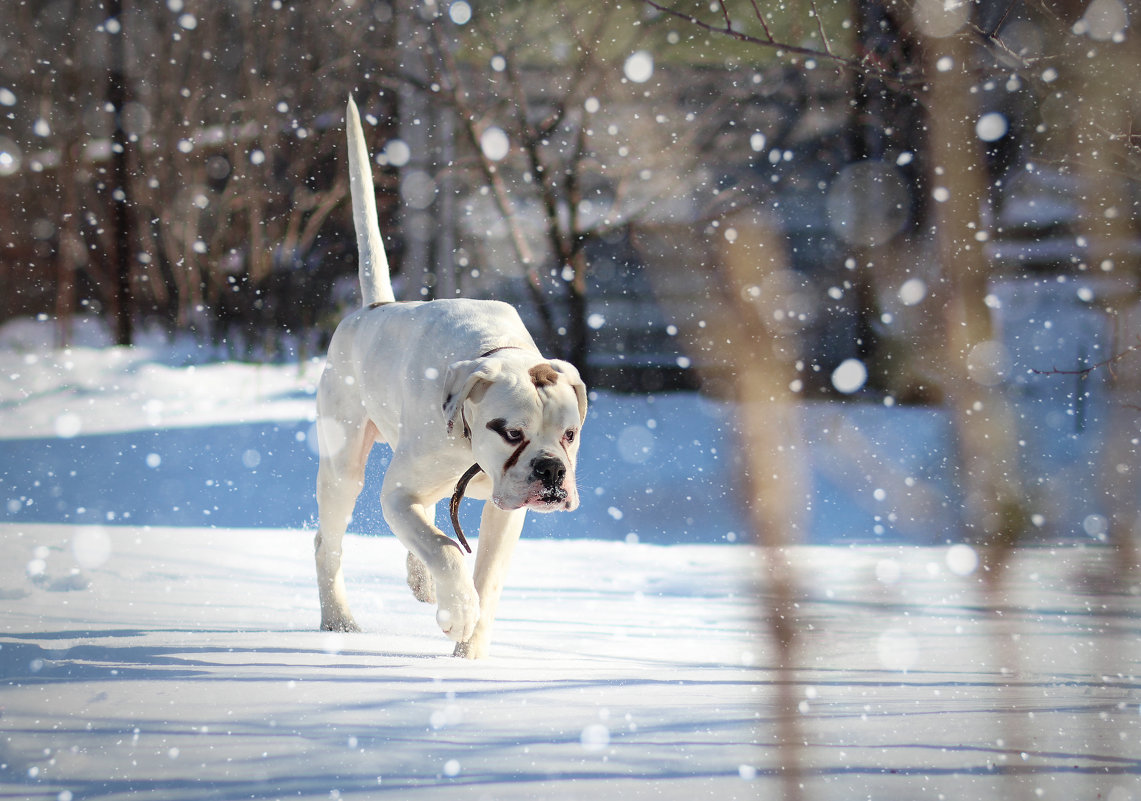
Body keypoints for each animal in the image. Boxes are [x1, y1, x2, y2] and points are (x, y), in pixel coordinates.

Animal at [314, 98, 588, 657]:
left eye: (570, 434)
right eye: (511, 432)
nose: (551, 470)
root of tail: (372, 309)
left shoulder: (505, 515)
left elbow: (486, 576)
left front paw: (470, 655)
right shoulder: (397, 495)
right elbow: (444, 550)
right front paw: (458, 612)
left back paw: (419, 583)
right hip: (343, 468)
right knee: (328, 545)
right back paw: (340, 621)